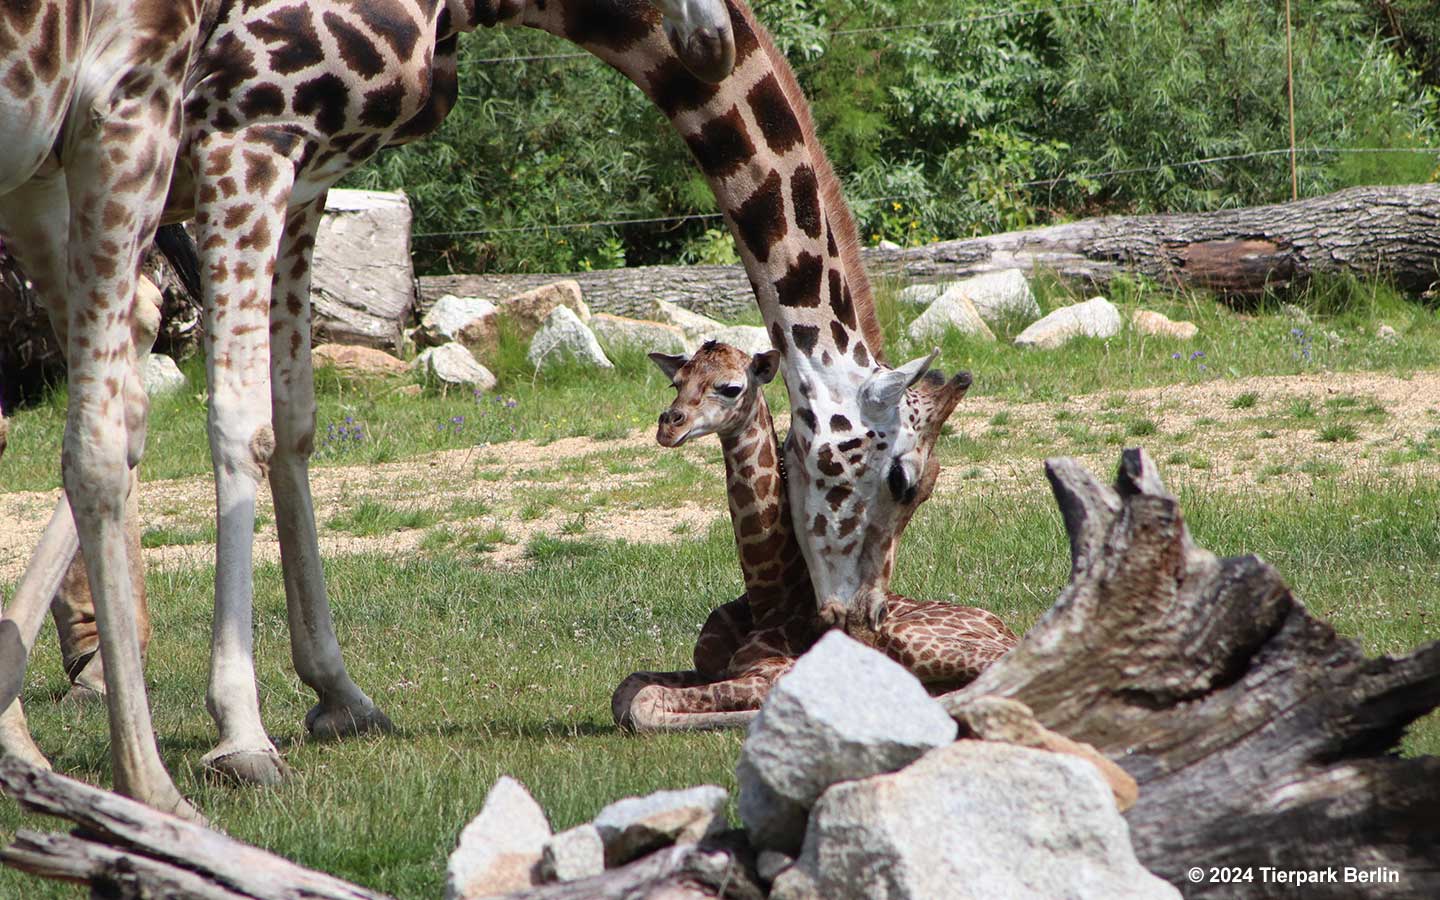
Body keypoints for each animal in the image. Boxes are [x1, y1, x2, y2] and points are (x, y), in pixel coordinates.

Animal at [0, 0, 737, 812]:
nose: (714, 43)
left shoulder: (287, 179)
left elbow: (286, 417)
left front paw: (335, 693)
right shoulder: (232, 147)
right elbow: (236, 421)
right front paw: (240, 734)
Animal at [613, 338, 1019, 731]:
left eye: (730, 387)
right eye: (676, 383)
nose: (669, 426)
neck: (767, 595)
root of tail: (1008, 630)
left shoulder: (768, 674)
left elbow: (644, 702)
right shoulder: (706, 667)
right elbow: (626, 691)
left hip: (908, 639)